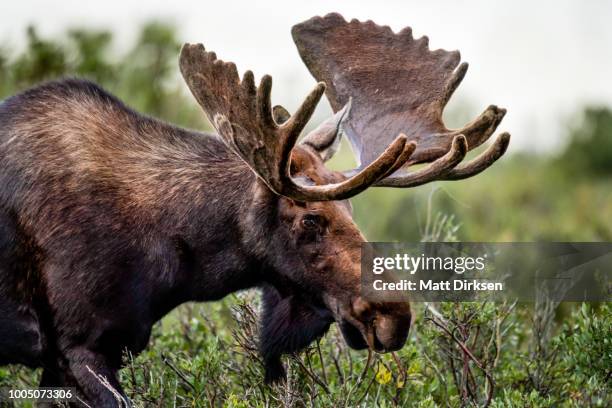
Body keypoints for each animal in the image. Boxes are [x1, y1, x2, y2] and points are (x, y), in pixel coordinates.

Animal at [0, 11, 506, 404]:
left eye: (352, 211)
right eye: (311, 218)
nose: (394, 316)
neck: (175, 258)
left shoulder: (85, 353)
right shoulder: (77, 348)